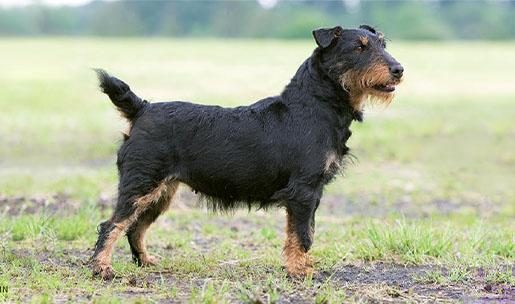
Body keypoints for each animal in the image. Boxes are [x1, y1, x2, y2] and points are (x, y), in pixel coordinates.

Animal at [91, 25, 404, 280]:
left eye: (383, 44)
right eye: (359, 47)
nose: (399, 69)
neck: (315, 104)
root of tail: (142, 108)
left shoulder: (310, 194)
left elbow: (302, 233)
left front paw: (298, 266)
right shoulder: (303, 192)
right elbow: (302, 235)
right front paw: (300, 271)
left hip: (162, 191)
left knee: (135, 227)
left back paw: (145, 262)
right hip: (142, 184)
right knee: (111, 224)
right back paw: (102, 269)